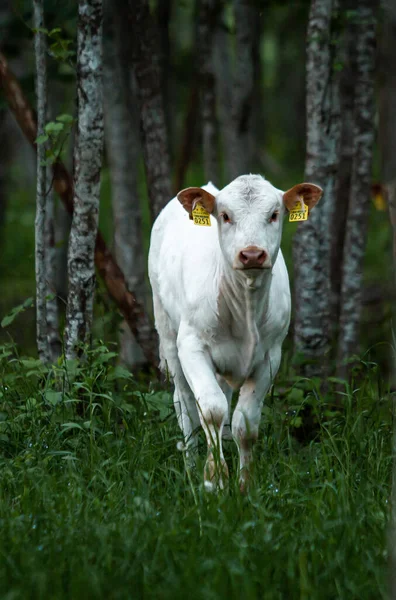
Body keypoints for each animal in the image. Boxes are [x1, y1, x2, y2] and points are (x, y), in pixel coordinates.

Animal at [148, 175, 322, 492]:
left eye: (274, 214)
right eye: (225, 216)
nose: (252, 254)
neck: (245, 309)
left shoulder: (271, 356)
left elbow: (246, 422)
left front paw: (245, 484)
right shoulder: (191, 345)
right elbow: (211, 410)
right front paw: (214, 480)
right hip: (167, 332)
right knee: (185, 404)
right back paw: (191, 467)